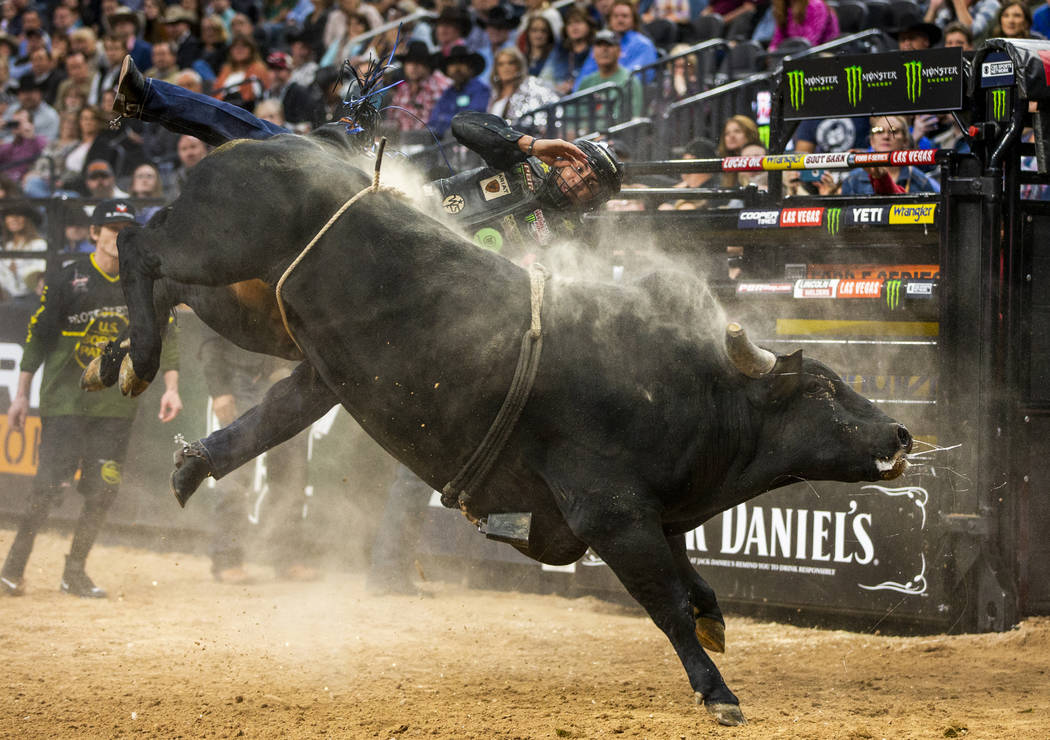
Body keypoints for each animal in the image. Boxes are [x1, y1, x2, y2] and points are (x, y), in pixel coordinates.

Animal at [96, 131, 911, 722]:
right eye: (822, 387)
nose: (901, 436)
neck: (696, 394)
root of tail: (258, 143)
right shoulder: (613, 516)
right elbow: (670, 606)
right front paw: (718, 693)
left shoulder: (657, 521)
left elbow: (697, 588)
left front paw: (716, 630)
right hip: (221, 245)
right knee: (142, 242)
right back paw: (138, 356)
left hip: (256, 309)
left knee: (186, 304)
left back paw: (158, 414)